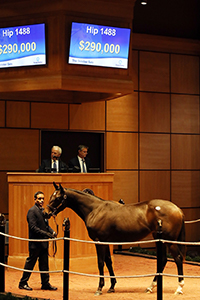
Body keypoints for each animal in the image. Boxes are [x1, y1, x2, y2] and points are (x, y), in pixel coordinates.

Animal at [44, 183, 186, 296]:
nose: (46, 213)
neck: (95, 210)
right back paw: (150, 287)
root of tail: (178, 209)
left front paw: (99, 288)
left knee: (178, 259)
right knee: (163, 260)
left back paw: (179, 288)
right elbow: (108, 261)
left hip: (169, 241)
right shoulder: (106, 242)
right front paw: (112, 286)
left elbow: (101, 263)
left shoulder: (99, 241)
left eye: (57, 198)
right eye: (51, 196)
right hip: (159, 240)